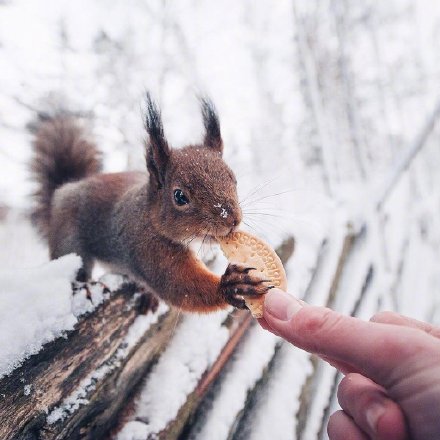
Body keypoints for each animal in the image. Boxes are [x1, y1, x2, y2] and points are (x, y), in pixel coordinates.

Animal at [31, 94, 270, 312]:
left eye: (234, 179)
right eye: (179, 196)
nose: (232, 219)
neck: (149, 216)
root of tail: (66, 187)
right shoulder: (148, 250)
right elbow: (181, 287)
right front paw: (231, 285)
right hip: (70, 241)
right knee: (76, 270)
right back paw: (86, 287)